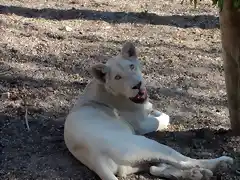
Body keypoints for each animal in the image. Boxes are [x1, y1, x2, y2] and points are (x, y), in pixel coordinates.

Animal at [63, 42, 232, 180]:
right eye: (117, 77)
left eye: (131, 67)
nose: (137, 85)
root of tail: (96, 158)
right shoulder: (142, 125)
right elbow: (164, 118)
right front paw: (157, 112)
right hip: (148, 145)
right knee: (184, 161)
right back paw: (220, 163)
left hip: (135, 162)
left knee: (156, 168)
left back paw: (197, 174)